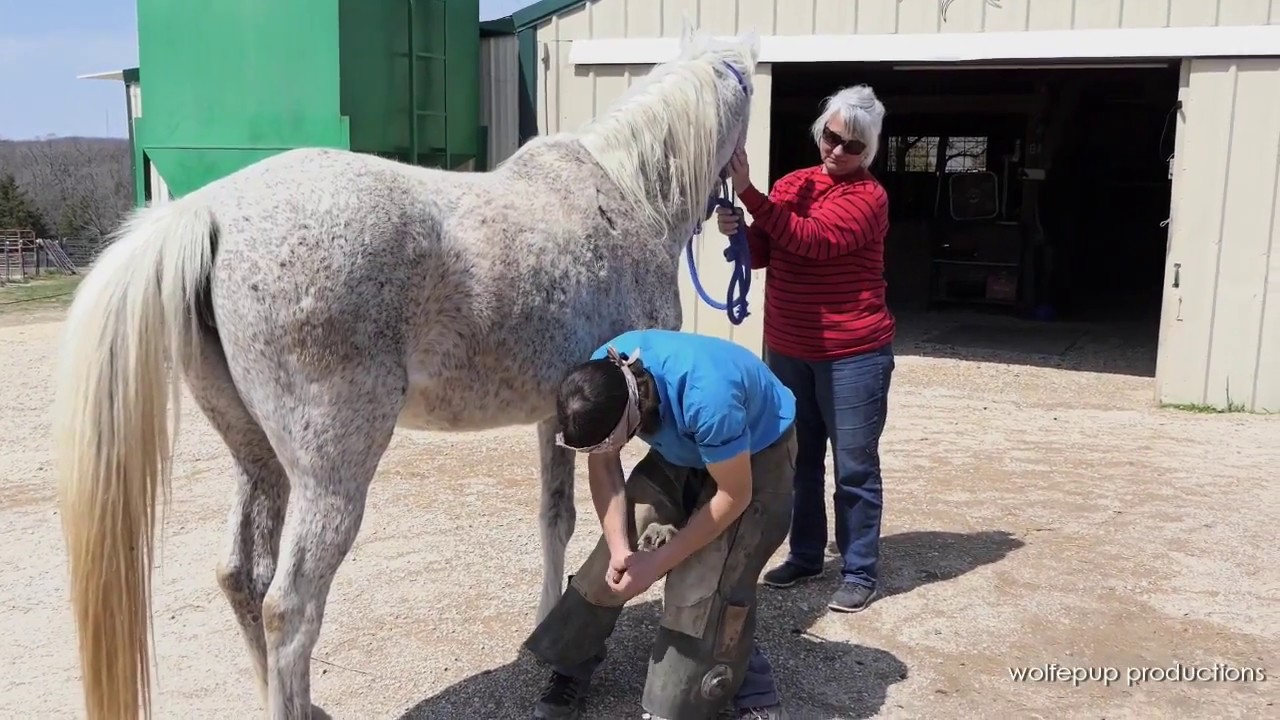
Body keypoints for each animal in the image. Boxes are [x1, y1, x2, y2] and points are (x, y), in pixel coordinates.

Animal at [51, 23, 760, 720]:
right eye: (752, 91)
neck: (630, 194)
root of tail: (209, 214)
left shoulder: (557, 417)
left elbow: (554, 519)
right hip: (333, 474)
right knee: (290, 608)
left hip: (256, 457)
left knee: (241, 577)